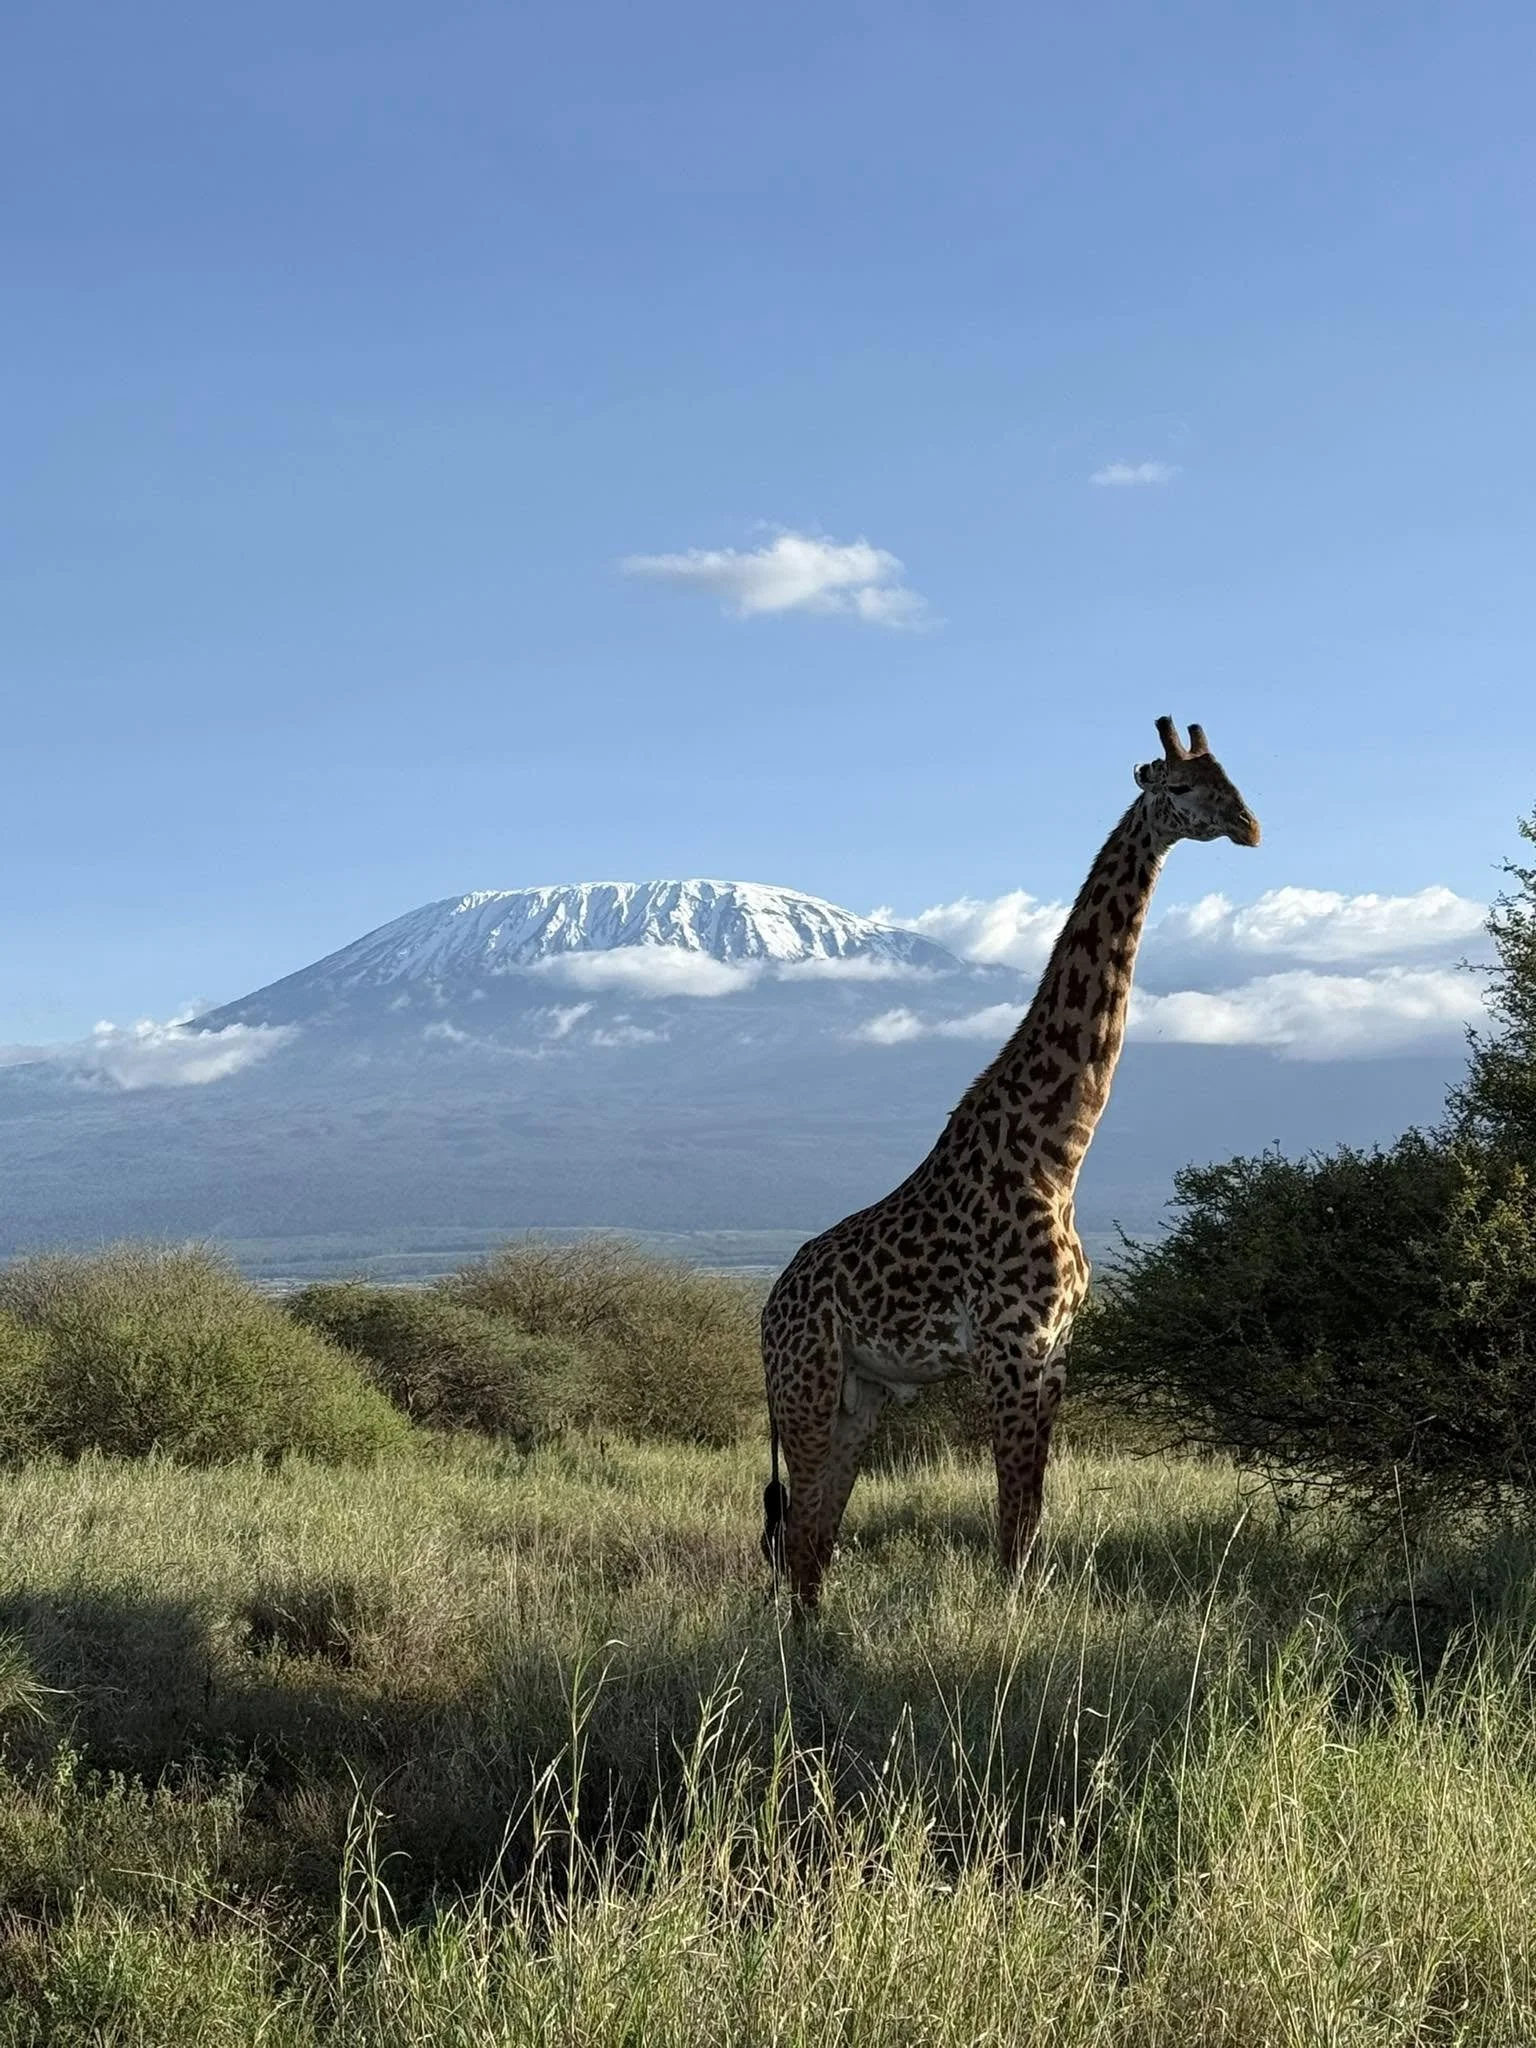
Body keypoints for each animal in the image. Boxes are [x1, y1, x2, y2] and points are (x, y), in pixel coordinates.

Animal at [759, 716, 1261, 1609]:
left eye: (1233, 778)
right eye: (1179, 788)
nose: (1250, 826)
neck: (1055, 1156)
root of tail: (763, 1314)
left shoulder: (1055, 1351)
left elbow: (1028, 1523)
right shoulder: (1010, 1350)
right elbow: (1012, 1529)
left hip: (860, 1394)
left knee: (812, 1539)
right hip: (806, 1385)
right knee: (798, 1536)